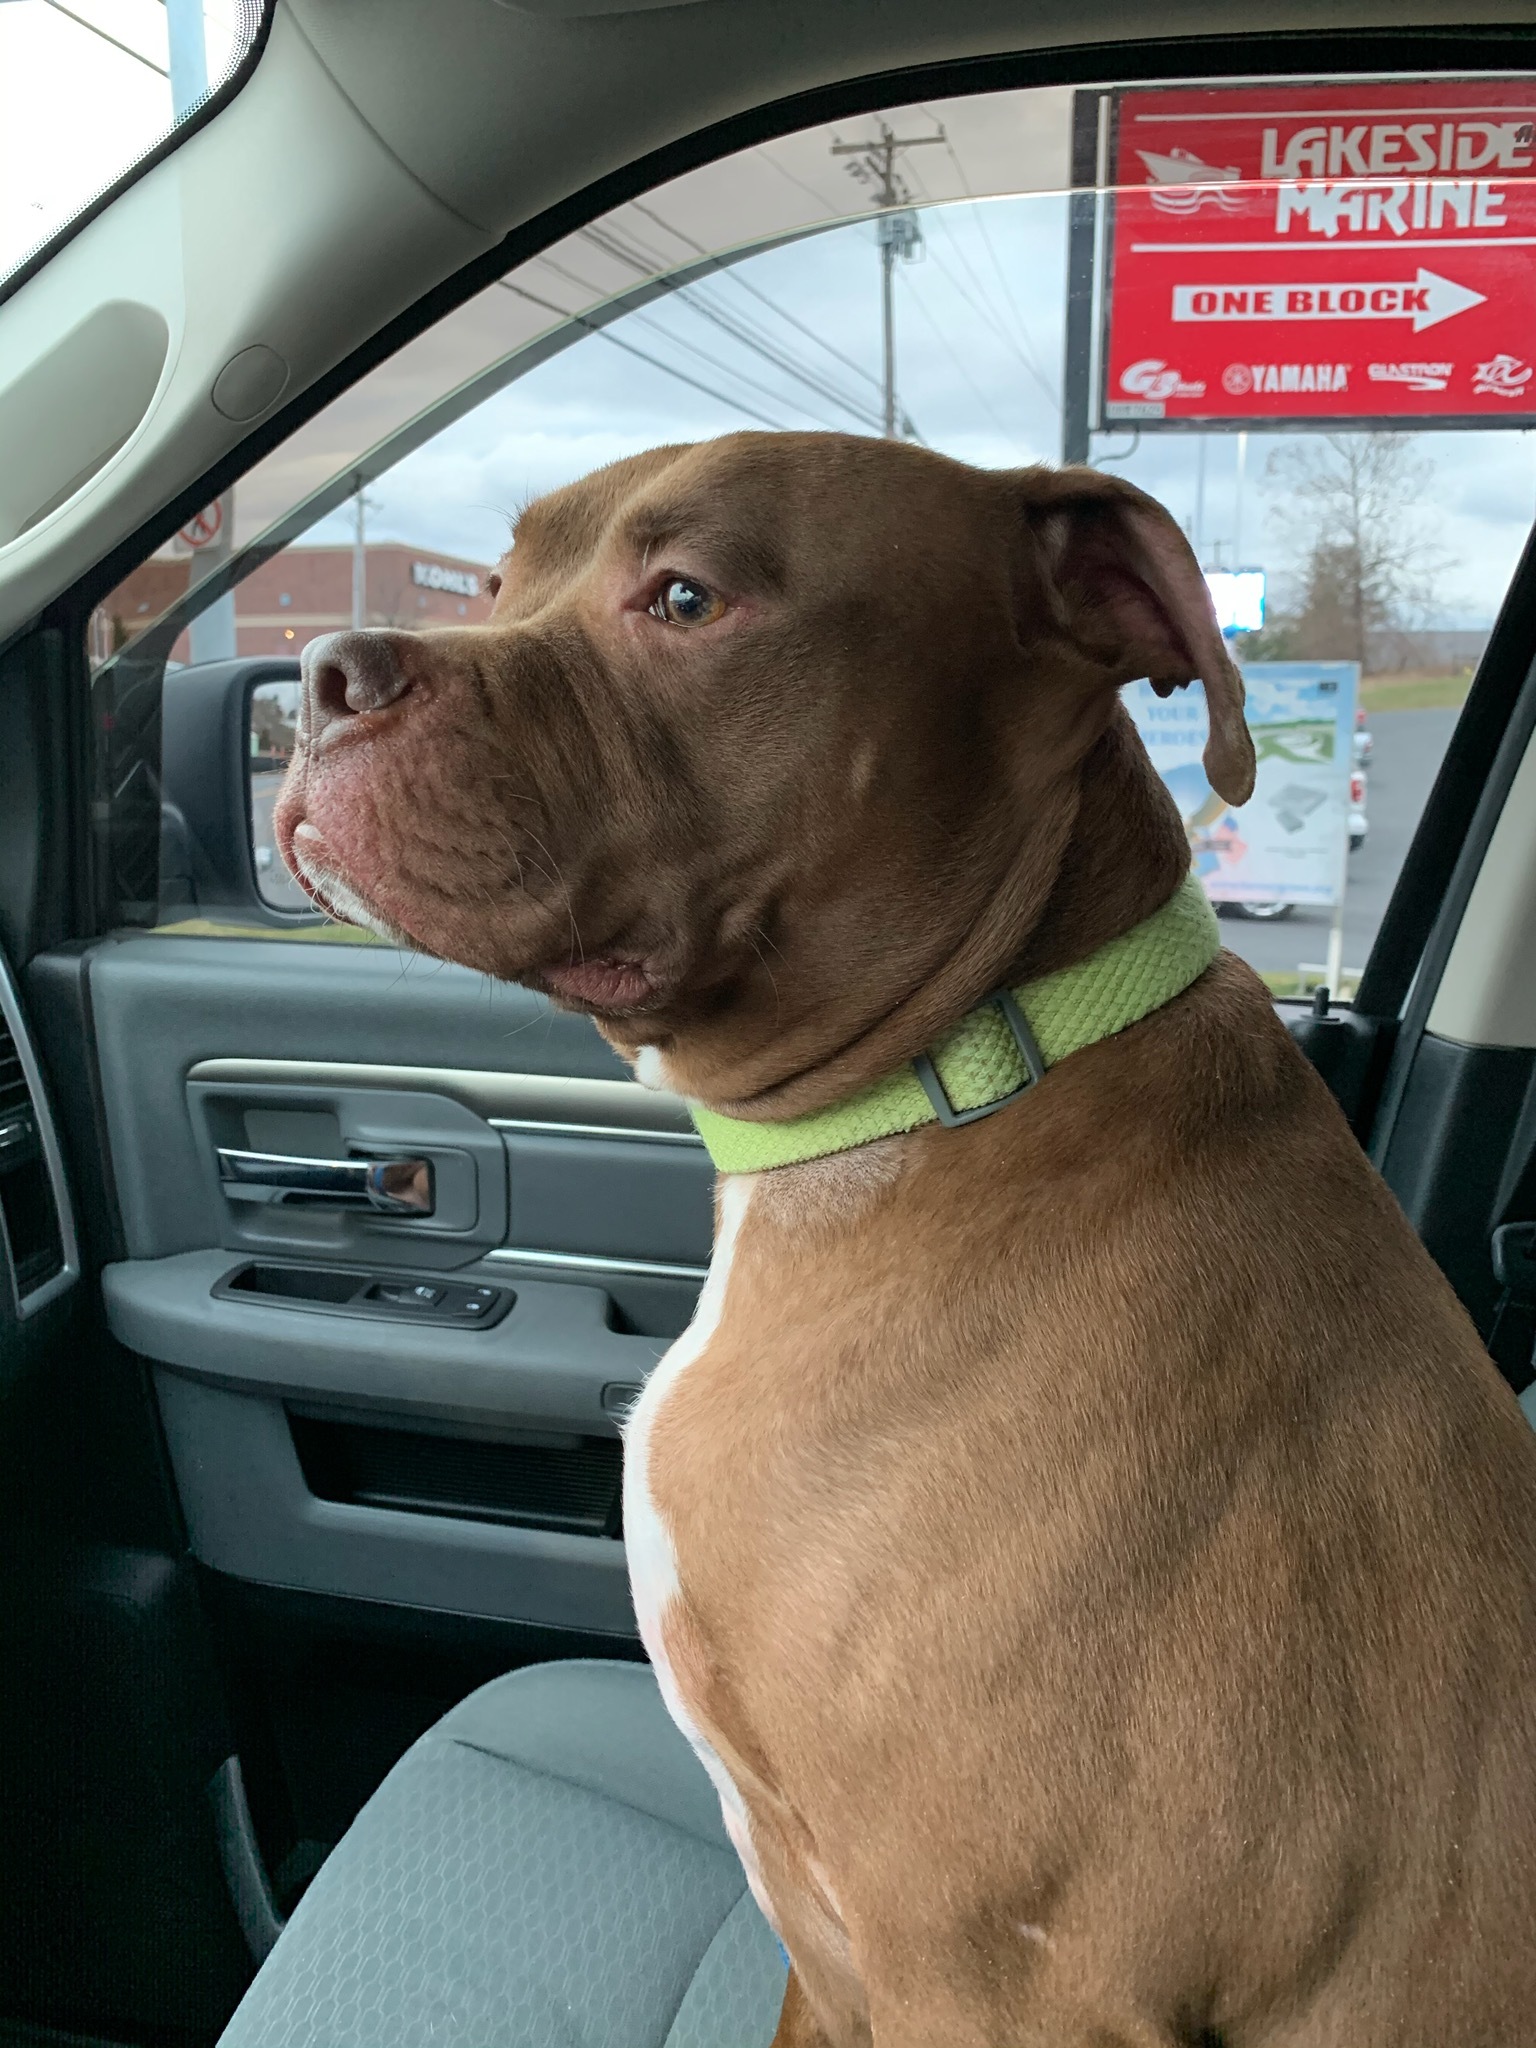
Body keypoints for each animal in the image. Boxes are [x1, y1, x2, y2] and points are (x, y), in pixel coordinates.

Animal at [274, 432, 1536, 2048]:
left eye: (685, 598)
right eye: (495, 582)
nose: (323, 673)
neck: (971, 1060)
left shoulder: (993, 1984)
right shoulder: (825, 1952)